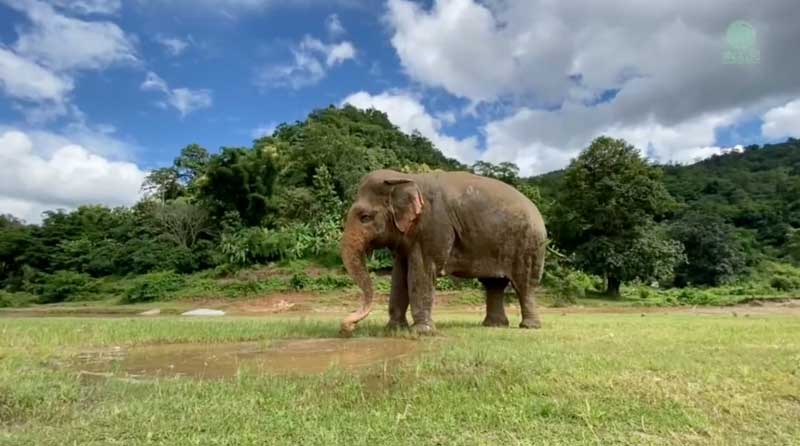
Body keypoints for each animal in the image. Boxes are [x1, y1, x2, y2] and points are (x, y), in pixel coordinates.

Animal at [338, 169, 552, 336]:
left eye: (365, 217)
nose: (347, 328)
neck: (406, 177)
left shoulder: (434, 228)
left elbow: (422, 271)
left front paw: (422, 332)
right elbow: (399, 275)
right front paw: (394, 330)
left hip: (529, 246)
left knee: (524, 285)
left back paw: (529, 327)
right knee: (494, 285)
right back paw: (494, 325)